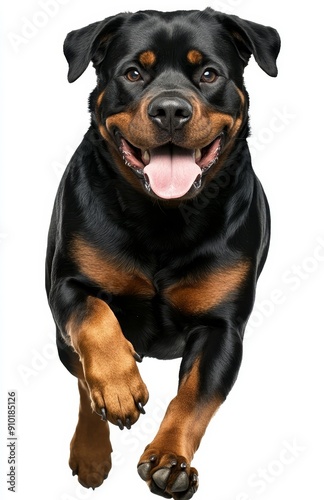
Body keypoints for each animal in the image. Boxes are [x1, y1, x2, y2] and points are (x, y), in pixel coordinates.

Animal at [45, 8, 278, 500]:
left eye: (209, 74)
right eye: (134, 73)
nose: (170, 109)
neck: (164, 218)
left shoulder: (222, 327)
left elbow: (193, 398)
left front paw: (170, 460)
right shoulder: (68, 286)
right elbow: (95, 317)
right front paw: (118, 385)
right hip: (59, 338)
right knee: (82, 380)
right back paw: (91, 451)